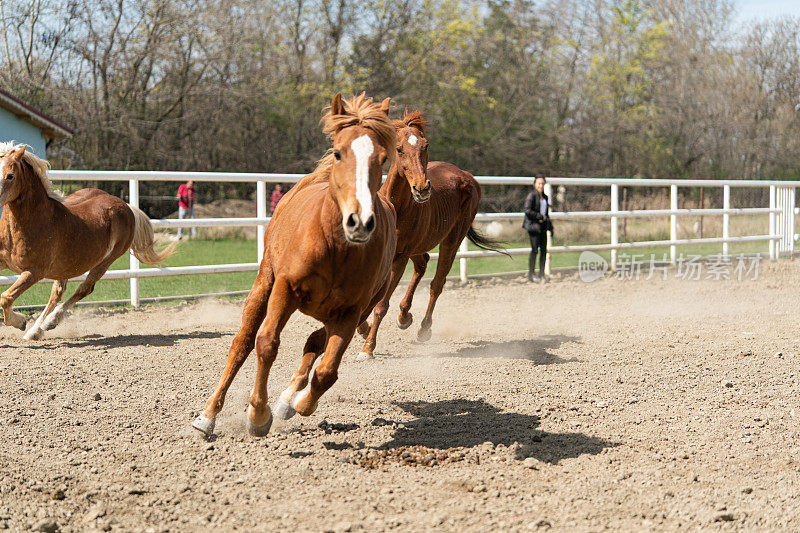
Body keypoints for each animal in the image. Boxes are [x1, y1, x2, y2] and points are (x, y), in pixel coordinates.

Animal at [0, 142, 175, 340]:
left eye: (10, 175)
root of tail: (127, 206)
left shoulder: (34, 271)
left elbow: (6, 297)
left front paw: (21, 321)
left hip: (105, 261)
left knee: (85, 288)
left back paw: (48, 323)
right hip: (65, 266)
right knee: (58, 292)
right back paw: (35, 331)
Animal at [191, 93, 396, 436]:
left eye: (382, 159)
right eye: (339, 152)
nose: (360, 221)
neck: (335, 248)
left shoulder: (351, 311)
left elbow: (326, 371)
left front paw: (297, 403)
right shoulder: (285, 289)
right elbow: (266, 344)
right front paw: (258, 415)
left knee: (314, 344)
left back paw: (289, 399)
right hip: (264, 284)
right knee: (242, 343)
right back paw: (208, 416)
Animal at [358, 109, 504, 356]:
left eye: (425, 146)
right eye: (399, 149)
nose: (422, 188)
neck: (396, 207)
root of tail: (466, 176)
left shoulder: (399, 258)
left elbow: (381, 305)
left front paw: (368, 347)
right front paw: (363, 328)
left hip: (451, 242)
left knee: (437, 284)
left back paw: (423, 328)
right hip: (419, 246)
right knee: (423, 264)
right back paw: (404, 316)